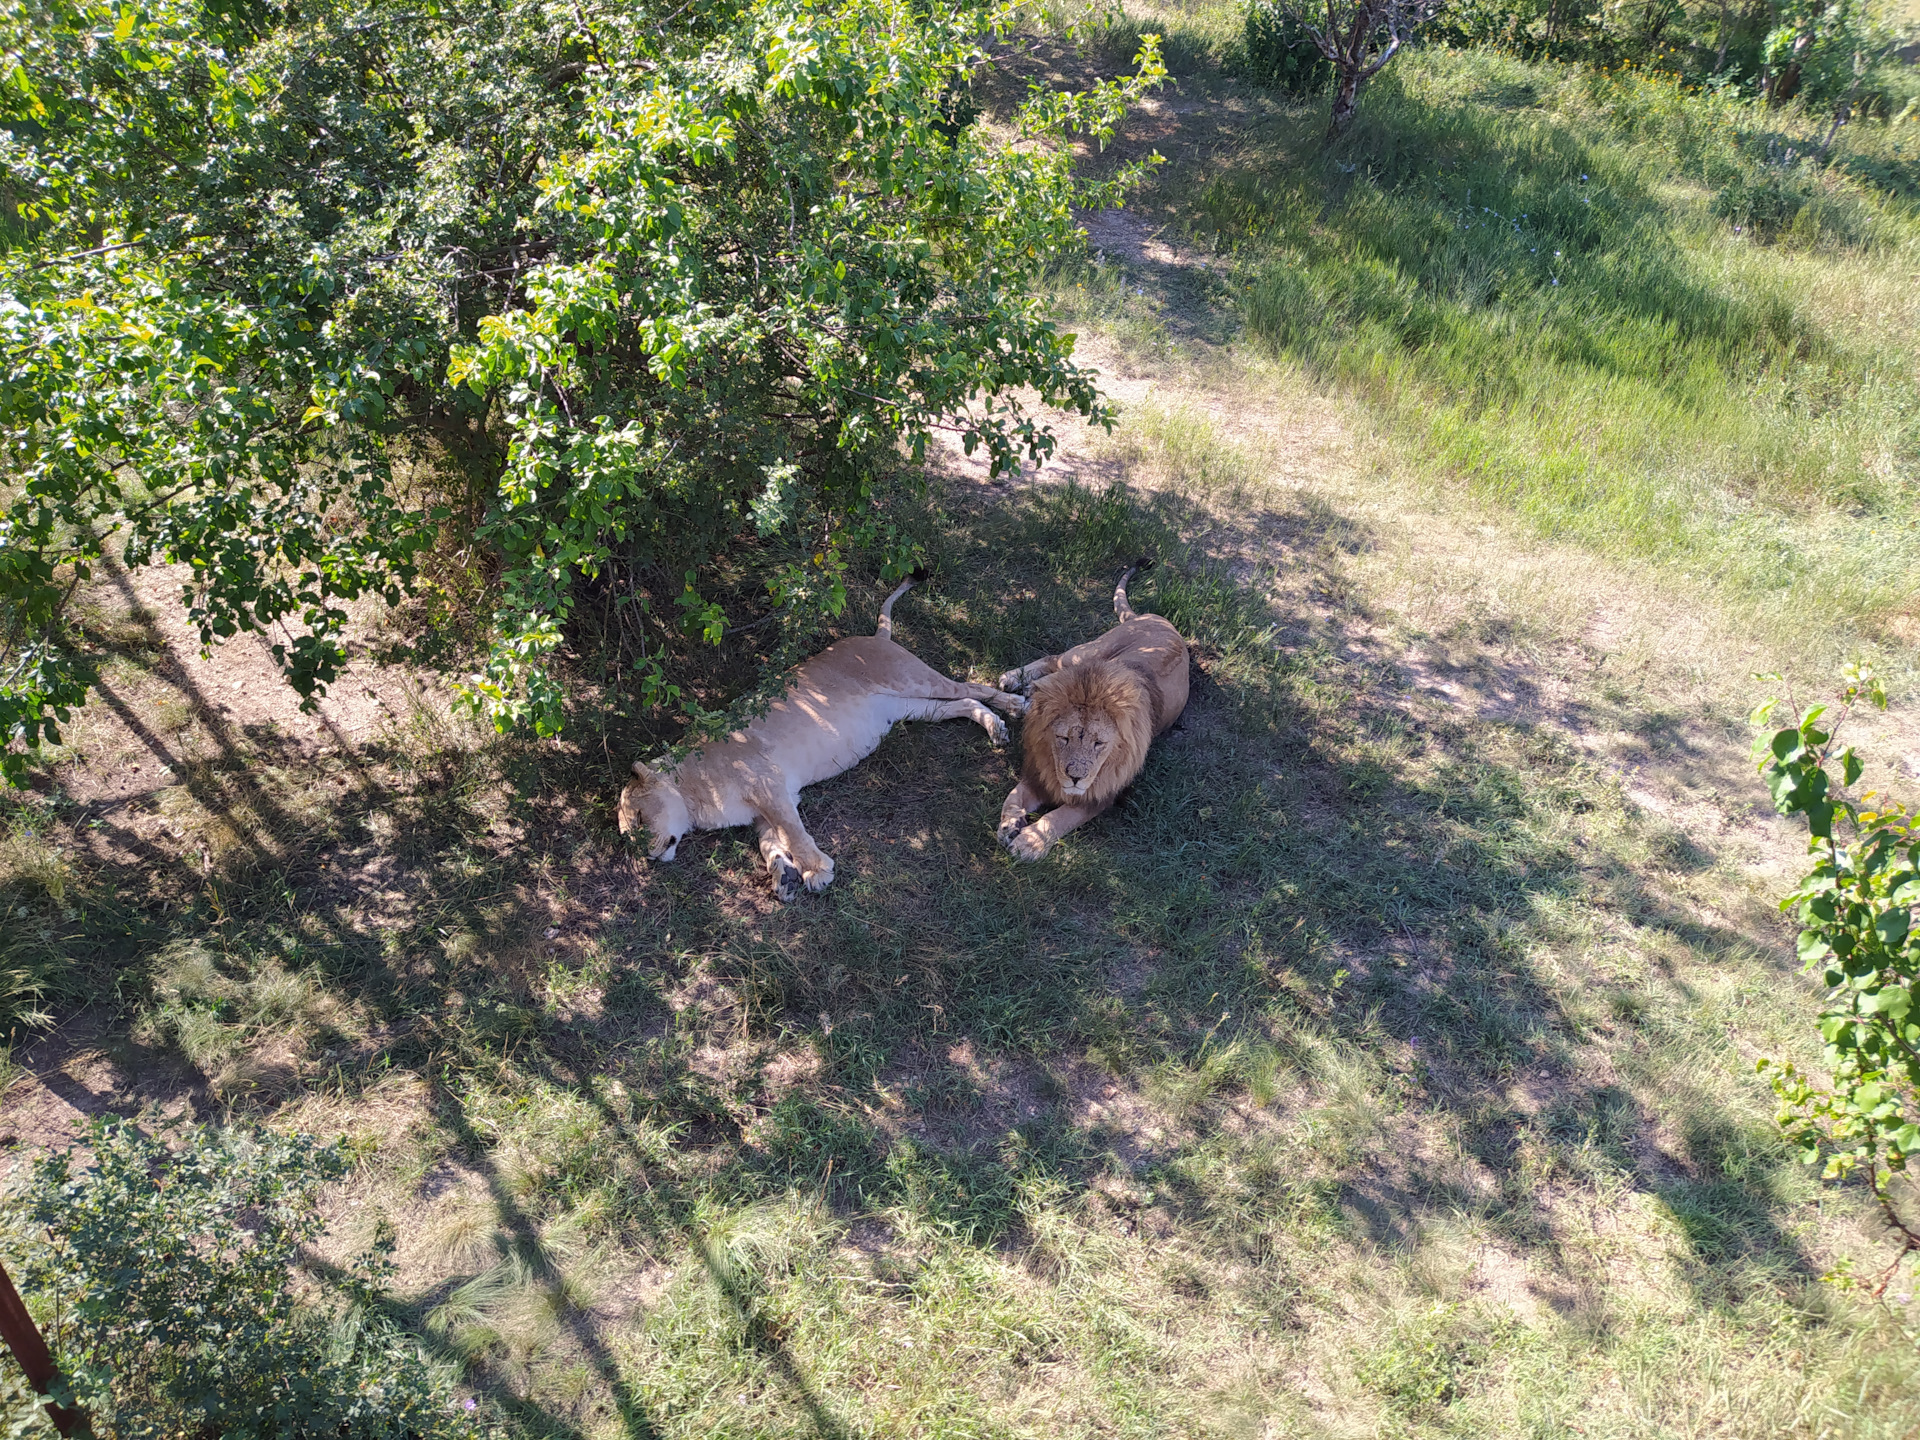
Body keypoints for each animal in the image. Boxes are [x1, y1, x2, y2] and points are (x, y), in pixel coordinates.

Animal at [622, 576, 1029, 902]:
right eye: (628, 836)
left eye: (639, 819)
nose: (647, 858)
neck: (692, 793)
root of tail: (874, 636)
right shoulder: (763, 809)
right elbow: (770, 844)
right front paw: (784, 877)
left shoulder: (768, 785)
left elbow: (793, 833)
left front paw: (816, 871)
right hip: (908, 708)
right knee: (964, 702)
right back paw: (996, 727)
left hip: (912, 679)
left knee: (971, 687)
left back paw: (1017, 703)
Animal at [998, 556, 1175, 864]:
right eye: (1063, 738)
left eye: (1099, 743)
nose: (1075, 778)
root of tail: (1159, 619)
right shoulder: (1038, 773)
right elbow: (1014, 796)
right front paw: (1009, 823)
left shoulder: (1098, 796)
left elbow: (1059, 817)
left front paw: (1029, 842)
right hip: (1088, 653)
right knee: (1054, 660)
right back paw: (1016, 681)